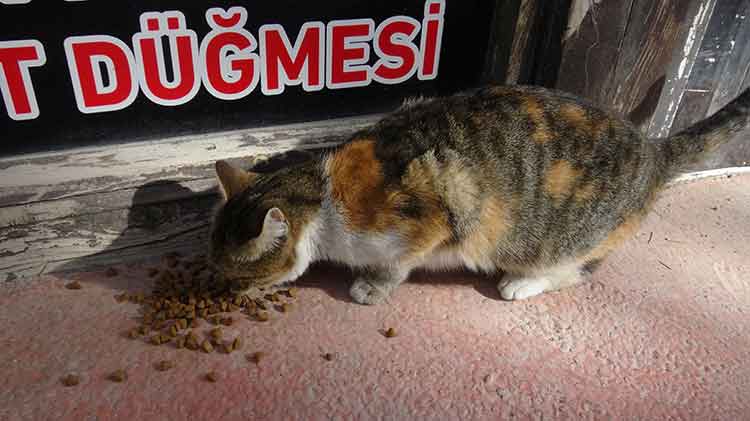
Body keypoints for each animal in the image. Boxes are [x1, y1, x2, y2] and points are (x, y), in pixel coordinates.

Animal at [207, 84, 750, 302]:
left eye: (237, 274)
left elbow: (394, 265)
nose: (223, 291)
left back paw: (520, 283)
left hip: (558, 241)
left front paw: (370, 288)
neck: (322, 195)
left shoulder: (431, 218)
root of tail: (654, 148)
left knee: (576, 271)